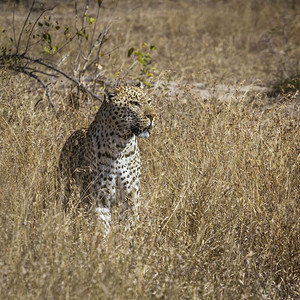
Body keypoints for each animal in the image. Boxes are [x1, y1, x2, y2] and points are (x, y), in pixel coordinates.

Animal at [58, 84, 155, 232]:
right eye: (134, 103)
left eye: (149, 101)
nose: (153, 116)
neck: (121, 145)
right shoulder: (99, 197)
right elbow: (102, 226)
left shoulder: (131, 195)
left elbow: (129, 224)